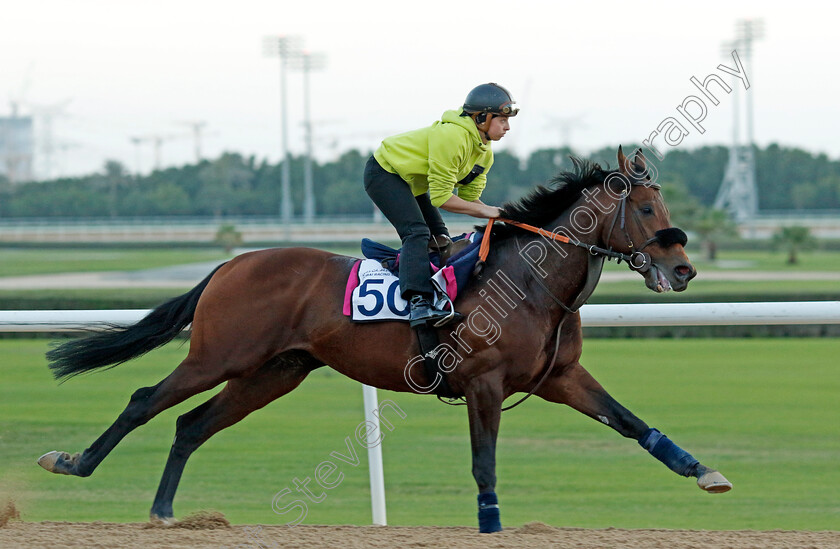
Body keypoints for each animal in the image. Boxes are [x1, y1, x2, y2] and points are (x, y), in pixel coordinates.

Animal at [37, 147, 728, 532]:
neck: (530, 280)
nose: (684, 270)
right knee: (144, 400)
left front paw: (705, 472)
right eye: (647, 210)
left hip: (273, 371)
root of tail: (232, 262)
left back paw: (162, 511)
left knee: (190, 425)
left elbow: (632, 423)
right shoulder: (483, 382)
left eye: (666, 207)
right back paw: (72, 462)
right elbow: (483, 460)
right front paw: (490, 521)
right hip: (219, 354)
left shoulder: (559, 378)